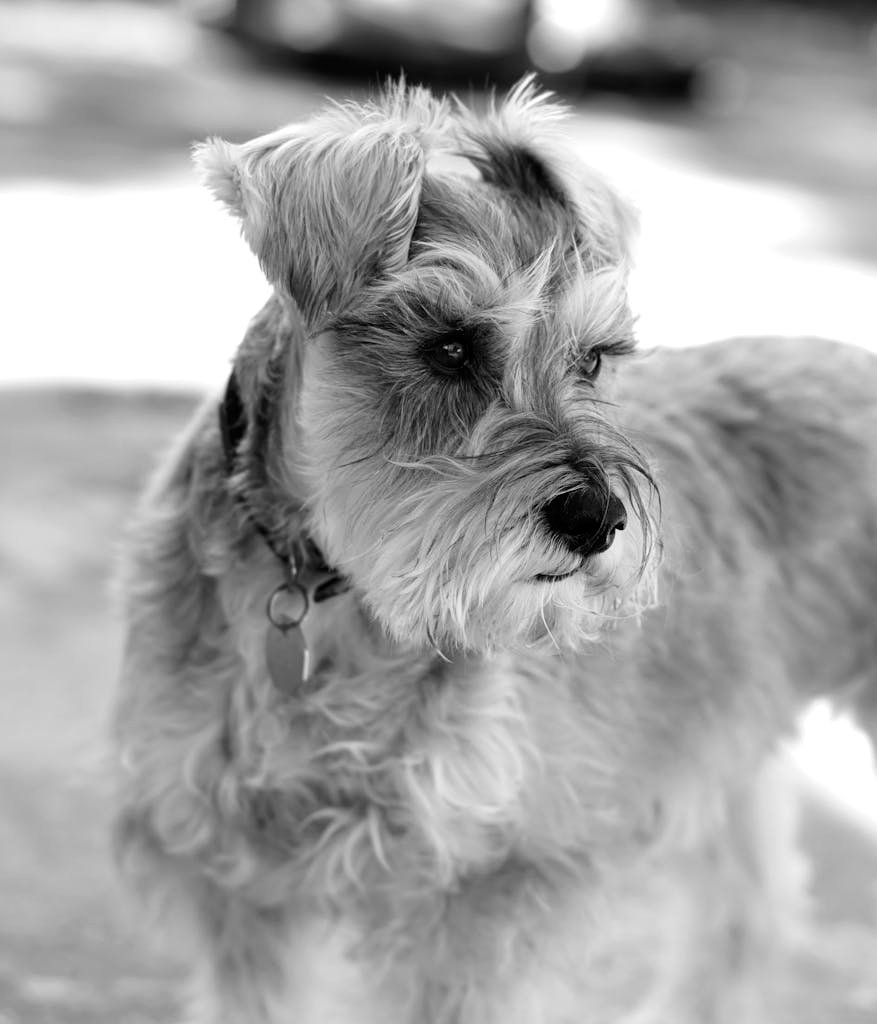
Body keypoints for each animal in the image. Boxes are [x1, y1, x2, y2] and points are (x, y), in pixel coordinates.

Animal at [113, 81, 877, 1024]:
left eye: (594, 357)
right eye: (447, 346)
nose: (596, 518)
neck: (331, 597)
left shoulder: (492, 894)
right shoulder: (236, 887)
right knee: (746, 913)